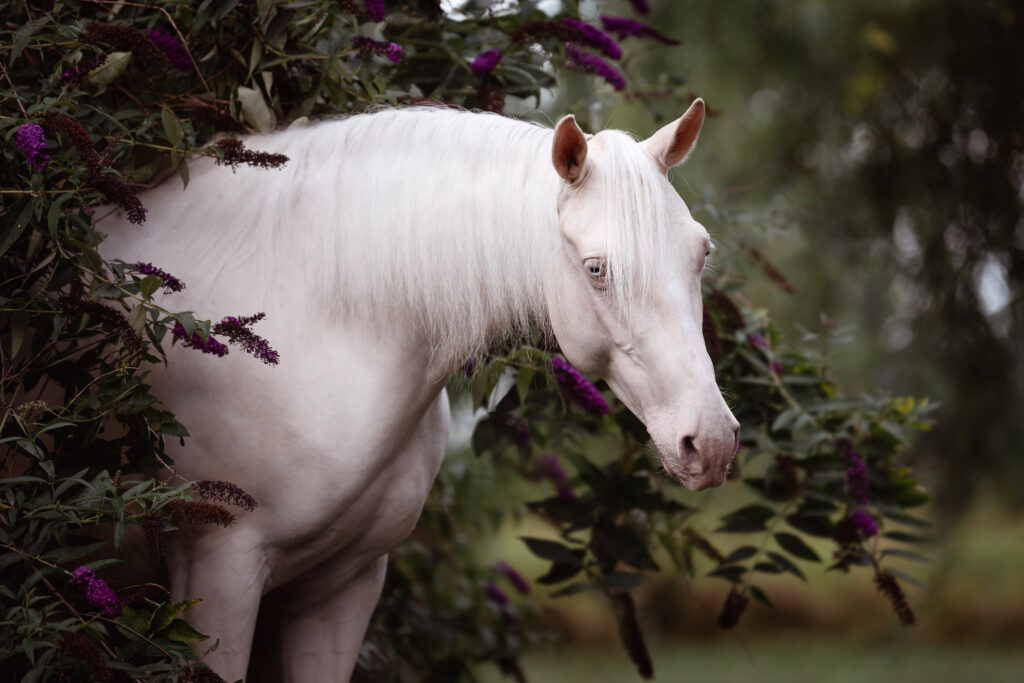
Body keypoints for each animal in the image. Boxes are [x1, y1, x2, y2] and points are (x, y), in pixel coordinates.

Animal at [97, 98, 739, 681]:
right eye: (596, 269)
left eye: (702, 251)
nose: (710, 442)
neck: (322, 317)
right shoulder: (218, 568)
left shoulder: (340, 589)